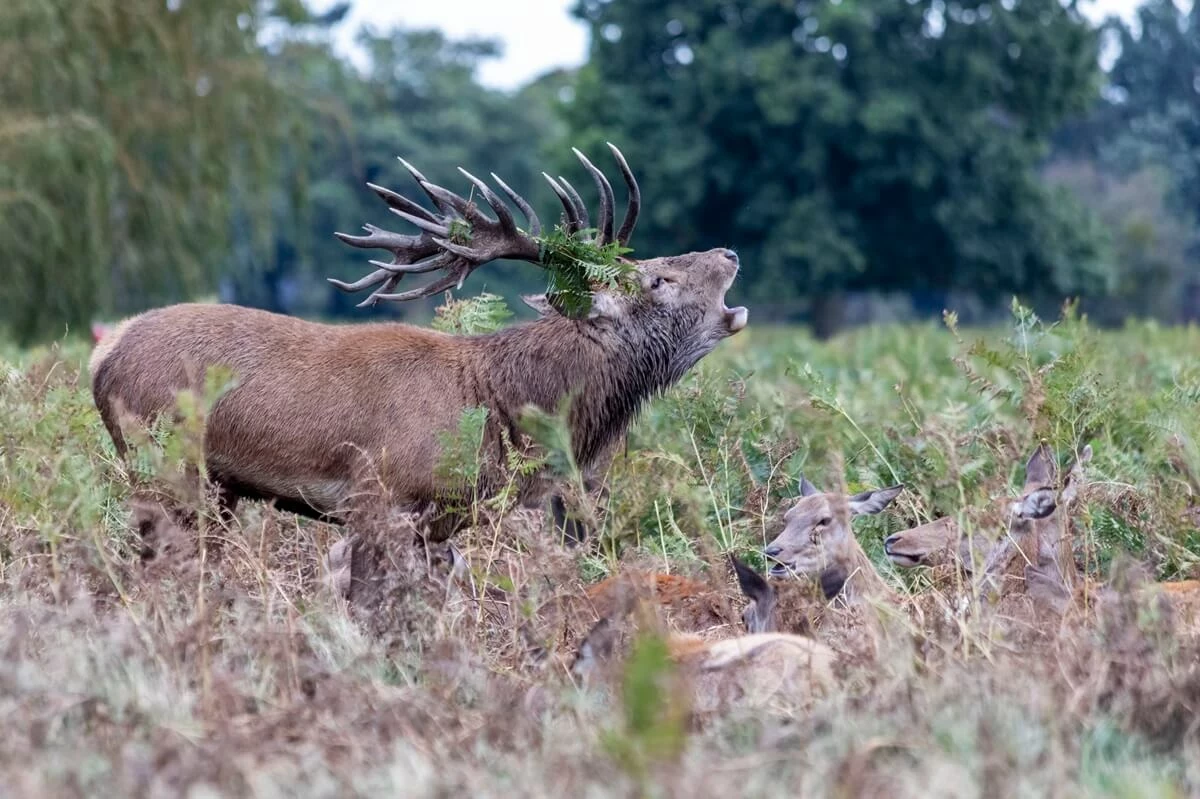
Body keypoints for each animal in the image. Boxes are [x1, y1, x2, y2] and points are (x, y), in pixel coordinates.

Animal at [93, 143, 744, 542]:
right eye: (657, 280)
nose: (729, 252)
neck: (499, 410)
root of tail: (102, 357)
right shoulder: (383, 495)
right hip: (165, 464)